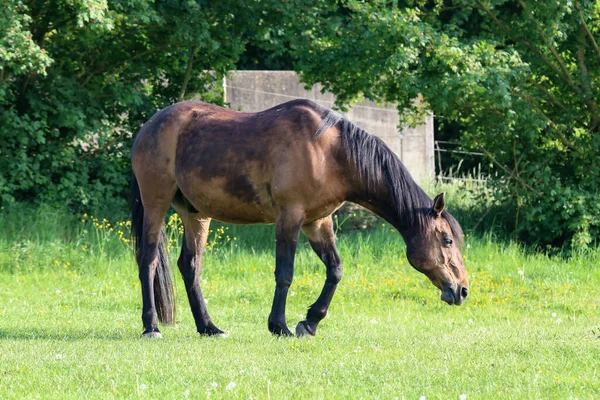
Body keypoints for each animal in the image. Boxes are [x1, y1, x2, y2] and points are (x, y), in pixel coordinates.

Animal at [130, 97, 468, 338]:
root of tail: (149, 127)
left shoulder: (317, 223)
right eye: (447, 240)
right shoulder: (289, 218)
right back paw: (151, 327)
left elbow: (335, 270)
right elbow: (285, 273)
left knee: (190, 266)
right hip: (156, 202)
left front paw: (310, 322)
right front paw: (279, 326)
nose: (462, 290)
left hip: (196, 214)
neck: (328, 152)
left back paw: (209, 328)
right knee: (148, 259)